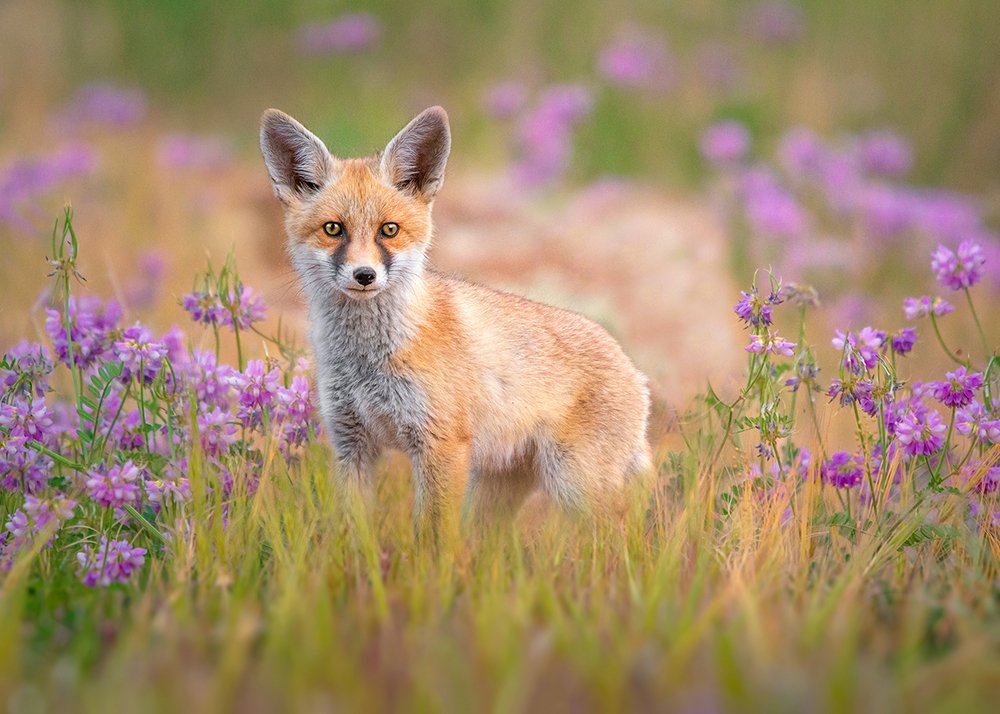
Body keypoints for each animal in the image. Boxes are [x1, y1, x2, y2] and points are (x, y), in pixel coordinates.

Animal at [259, 105, 651, 529]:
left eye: (389, 230)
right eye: (333, 229)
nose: (365, 275)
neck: (365, 361)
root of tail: (635, 369)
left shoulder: (441, 445)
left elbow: (432, 537)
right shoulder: (351, 443)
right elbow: (353, 533)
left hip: (574, 485)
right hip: (495, 495)